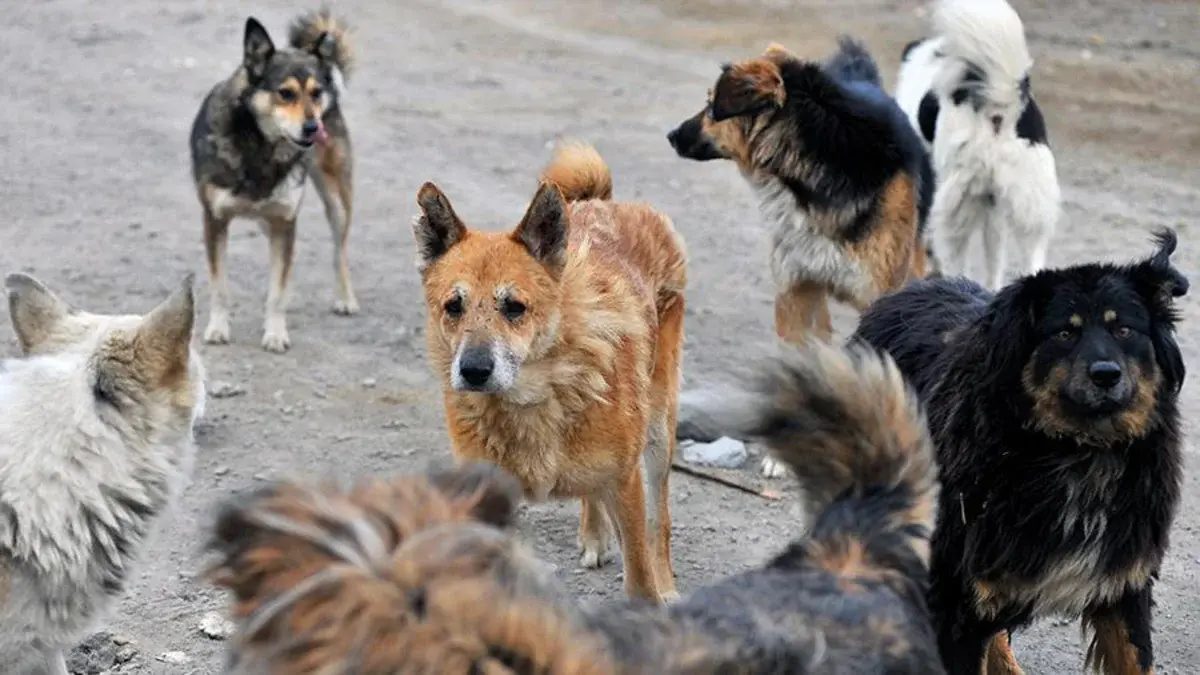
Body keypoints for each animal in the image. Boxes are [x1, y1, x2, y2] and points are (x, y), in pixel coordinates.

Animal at [405, 140, 686, 598]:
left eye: (514, 307)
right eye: (453, 306)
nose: (473, 371)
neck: (539, 395)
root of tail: (608, 204)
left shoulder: (626, 484)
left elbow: (640, 577)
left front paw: (653, 594)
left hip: (659, 433)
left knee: (659, 519)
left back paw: (666, 583)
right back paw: (593, 534)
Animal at [854, 228, 1190, 667]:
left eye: (1124, 330)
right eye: (1064, 333)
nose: (1106, 375)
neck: (1078, 452)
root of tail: (906, 291)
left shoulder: (1122, 584)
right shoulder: (959, 596)